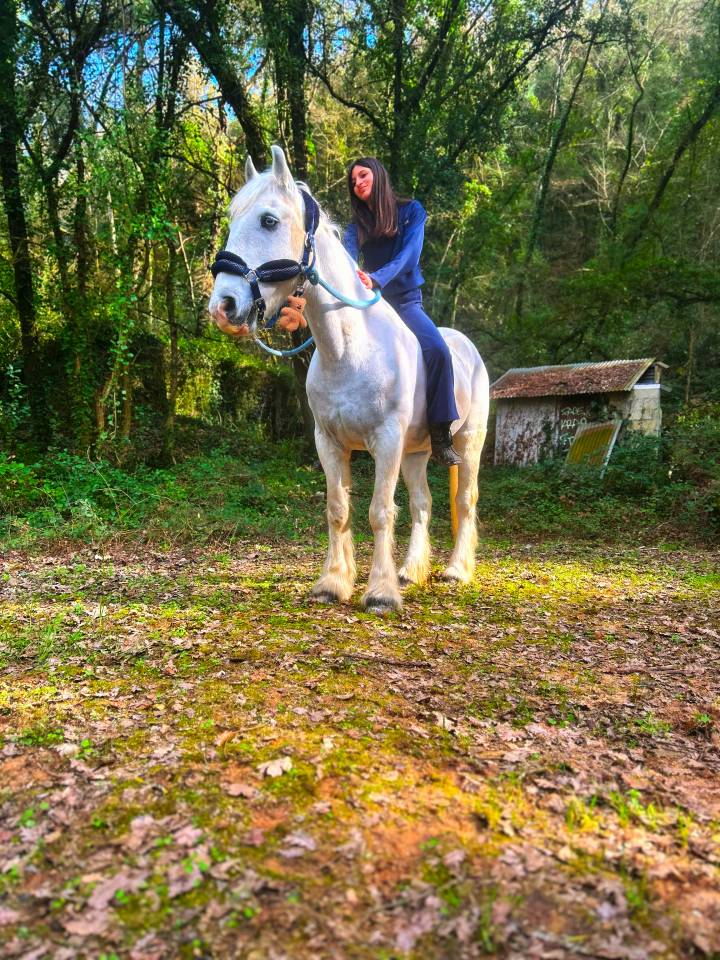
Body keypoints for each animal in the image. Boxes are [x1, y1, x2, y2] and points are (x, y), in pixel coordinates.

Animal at [209, 146, 489, 613]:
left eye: (269, 220)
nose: (223, 306)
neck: (349, 350)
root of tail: (469, 349)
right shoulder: (329, 442)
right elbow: (338, 509)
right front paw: (333, 583)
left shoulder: (386, 442)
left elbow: (380, 511)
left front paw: (380, 593)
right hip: (416, 453)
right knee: (423, 504)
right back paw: (410, 572)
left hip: (466, 445)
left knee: (463, 503)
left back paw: (454, 571)